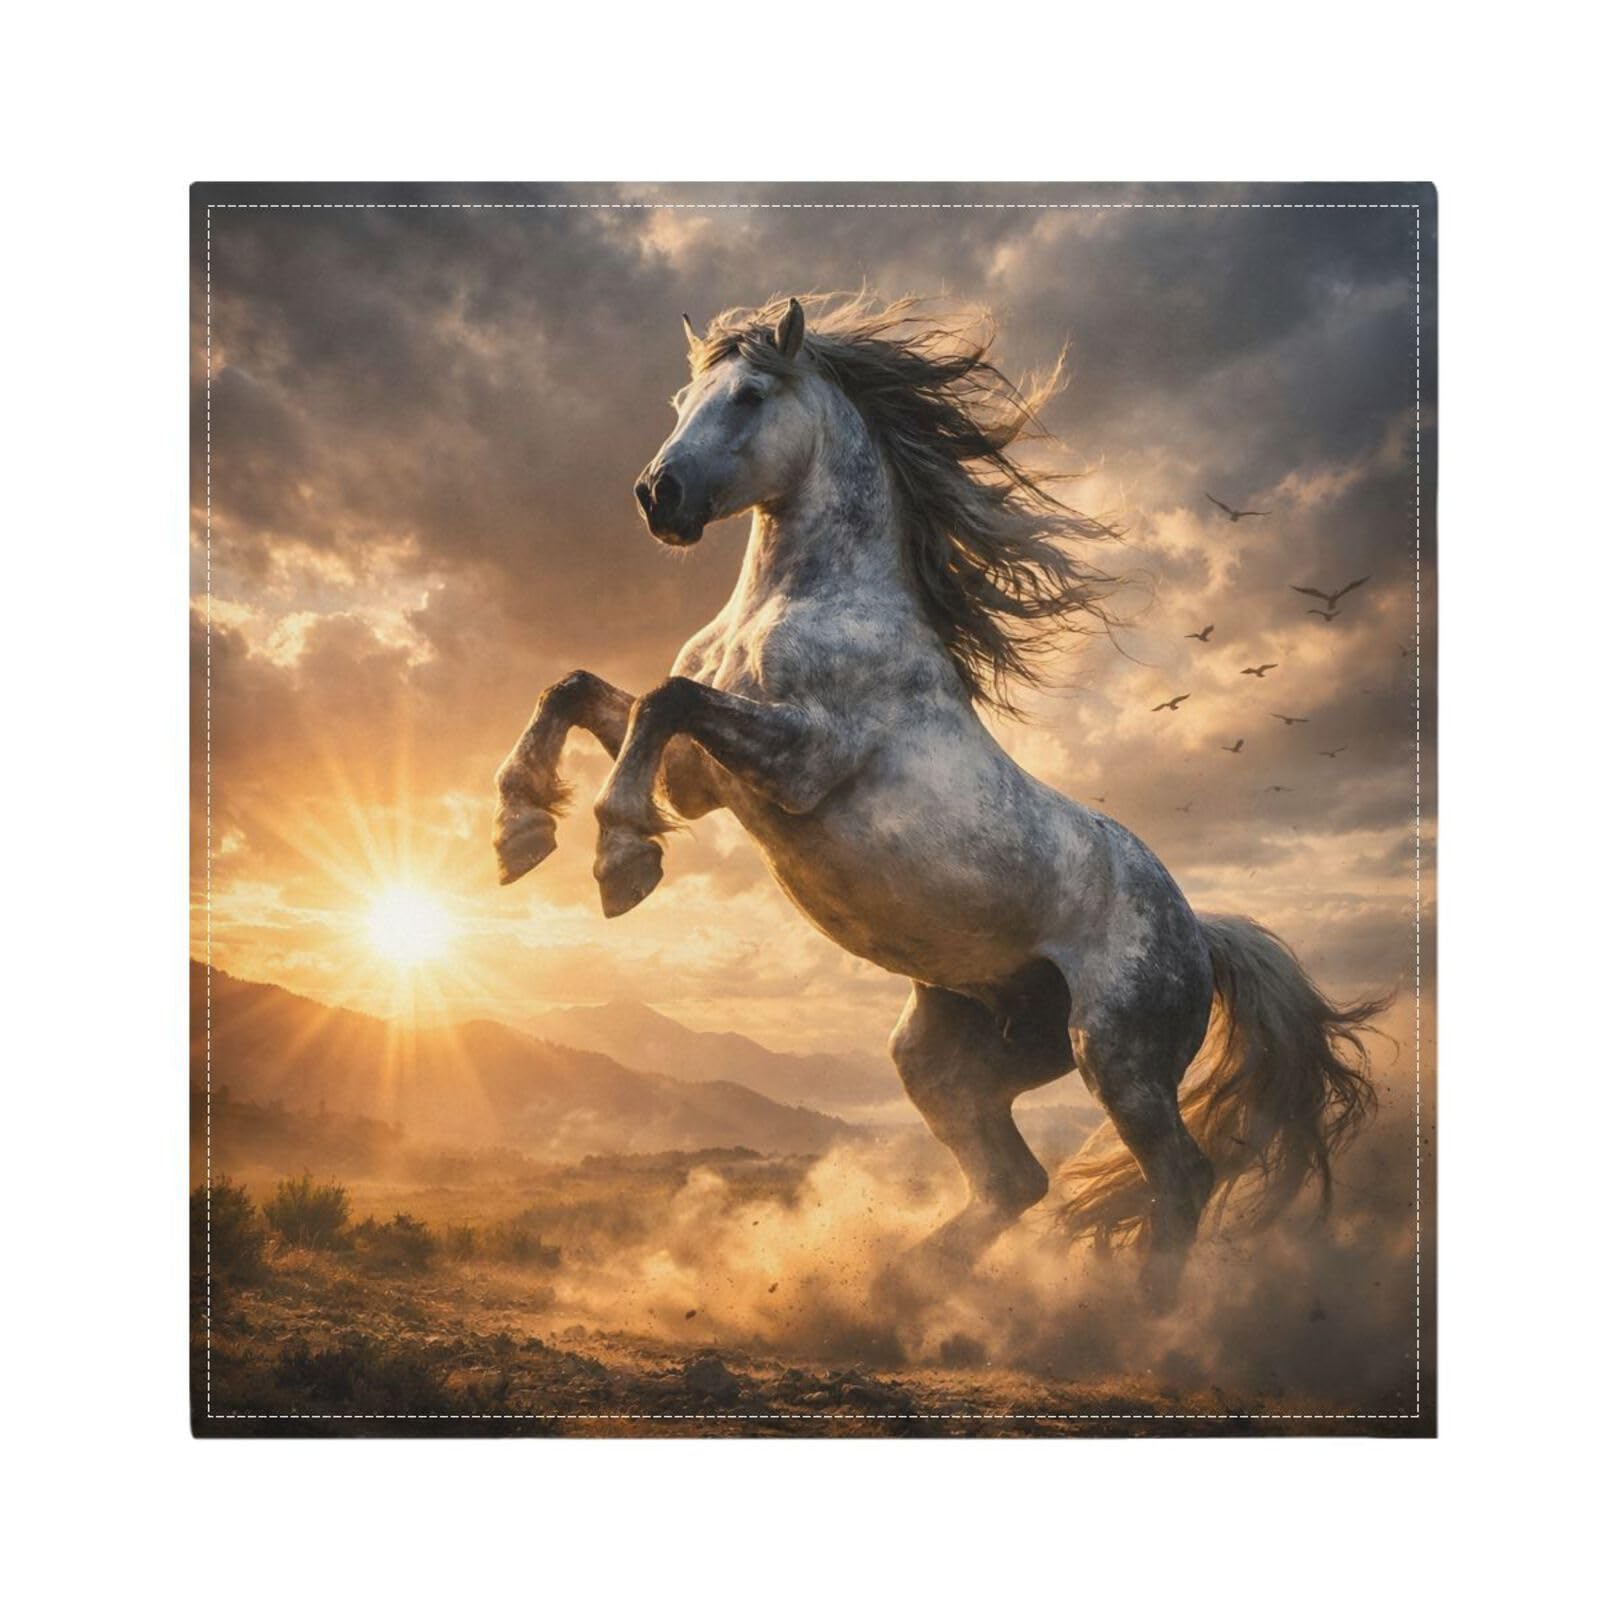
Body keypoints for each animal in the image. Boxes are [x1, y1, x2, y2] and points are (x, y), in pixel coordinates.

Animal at [493, 293, 1382, 1296]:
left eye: (751, 395)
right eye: (682, 398)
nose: (659, 497)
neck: (807, 603)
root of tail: (1201, 931)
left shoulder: (800, 762)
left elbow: (663, 699)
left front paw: (619, 859)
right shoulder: (698, 781)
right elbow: (581, 689)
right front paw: (520, 831)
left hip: (1118, 1053)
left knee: (1180, 1175)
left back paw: (1134, 1314)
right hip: (948, 1056)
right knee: (1015, 1181)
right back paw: (894, 1290)